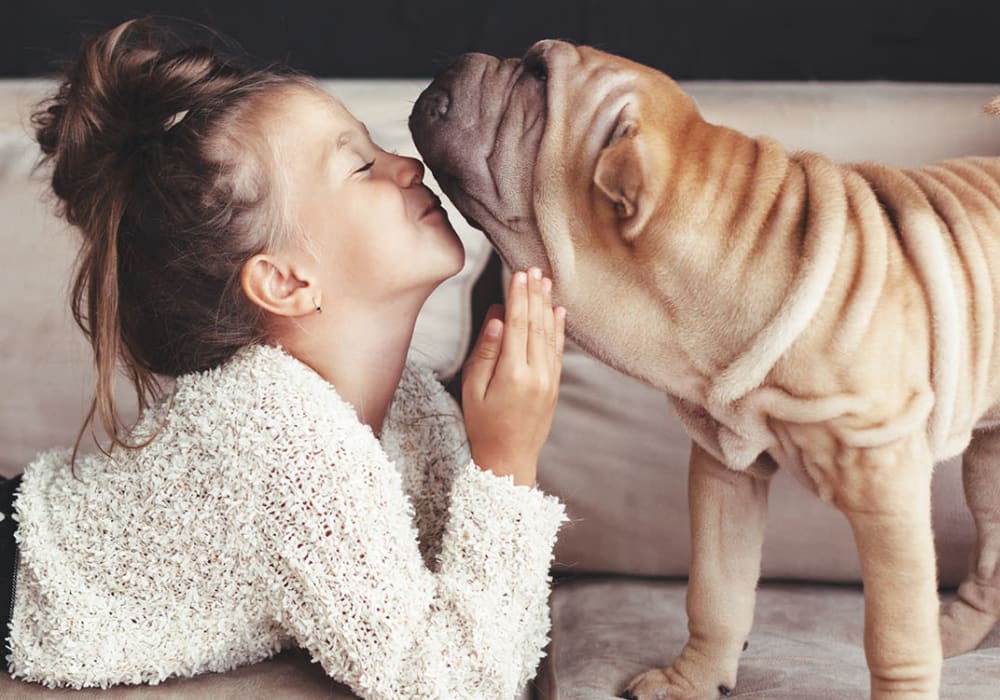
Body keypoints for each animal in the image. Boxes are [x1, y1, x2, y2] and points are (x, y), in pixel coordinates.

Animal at [408, 41, 1000, 696]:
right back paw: (956, 635)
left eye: (538, 76)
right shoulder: (725, 465)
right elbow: (716, 589)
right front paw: (690, 680)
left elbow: (895, 633)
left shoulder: (887, 487)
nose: (458, 58)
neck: (739, 246)